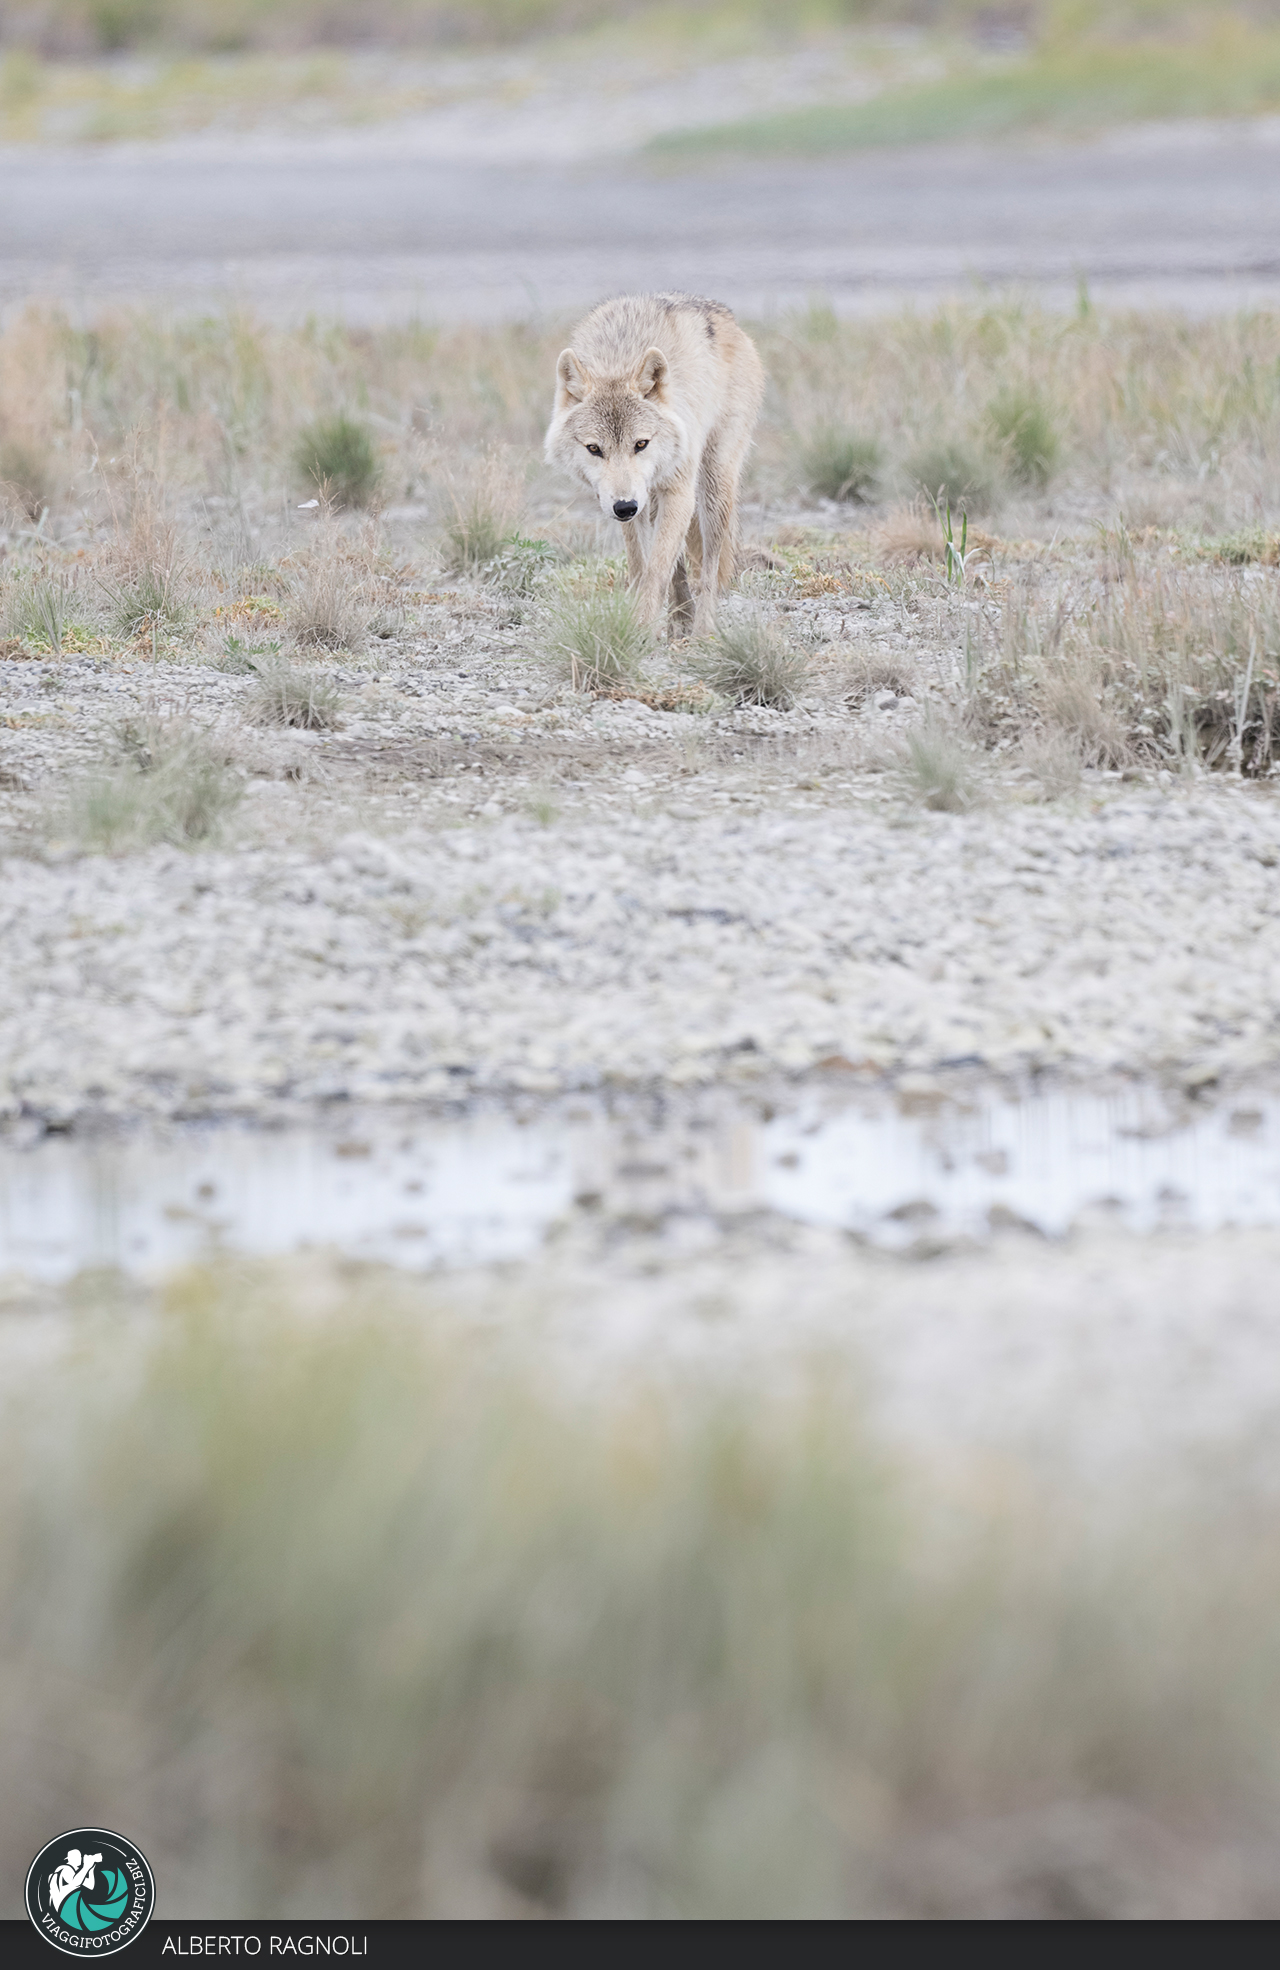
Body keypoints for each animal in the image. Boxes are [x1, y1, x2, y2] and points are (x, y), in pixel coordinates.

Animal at [544, 292, 765, 637]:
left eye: (641, 444)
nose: (625, 507)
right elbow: (642, 568)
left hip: (713, 486)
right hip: (651, 501)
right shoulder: (627, 502)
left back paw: (703, 630)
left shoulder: (678, 493)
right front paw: (642, 626)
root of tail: (728, 319)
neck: (619, 359)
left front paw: (643, 629)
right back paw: (680, 619)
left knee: (710, 566)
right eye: (594, 449)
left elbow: (657, 570)